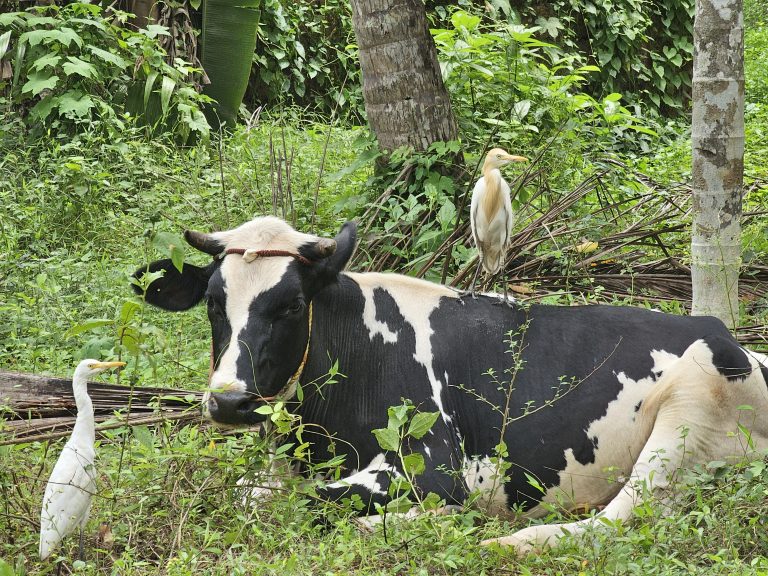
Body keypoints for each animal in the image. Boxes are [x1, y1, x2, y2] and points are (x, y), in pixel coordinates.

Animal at [133, 216, 768, 553]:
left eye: (290, 305)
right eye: (213, 303)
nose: (229, 400)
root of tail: (736, 340)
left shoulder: (433, 466)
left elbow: (313, 503)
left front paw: (431, 520)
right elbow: (252, 496)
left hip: (689, 414)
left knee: (617, 517)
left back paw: (499, 538)